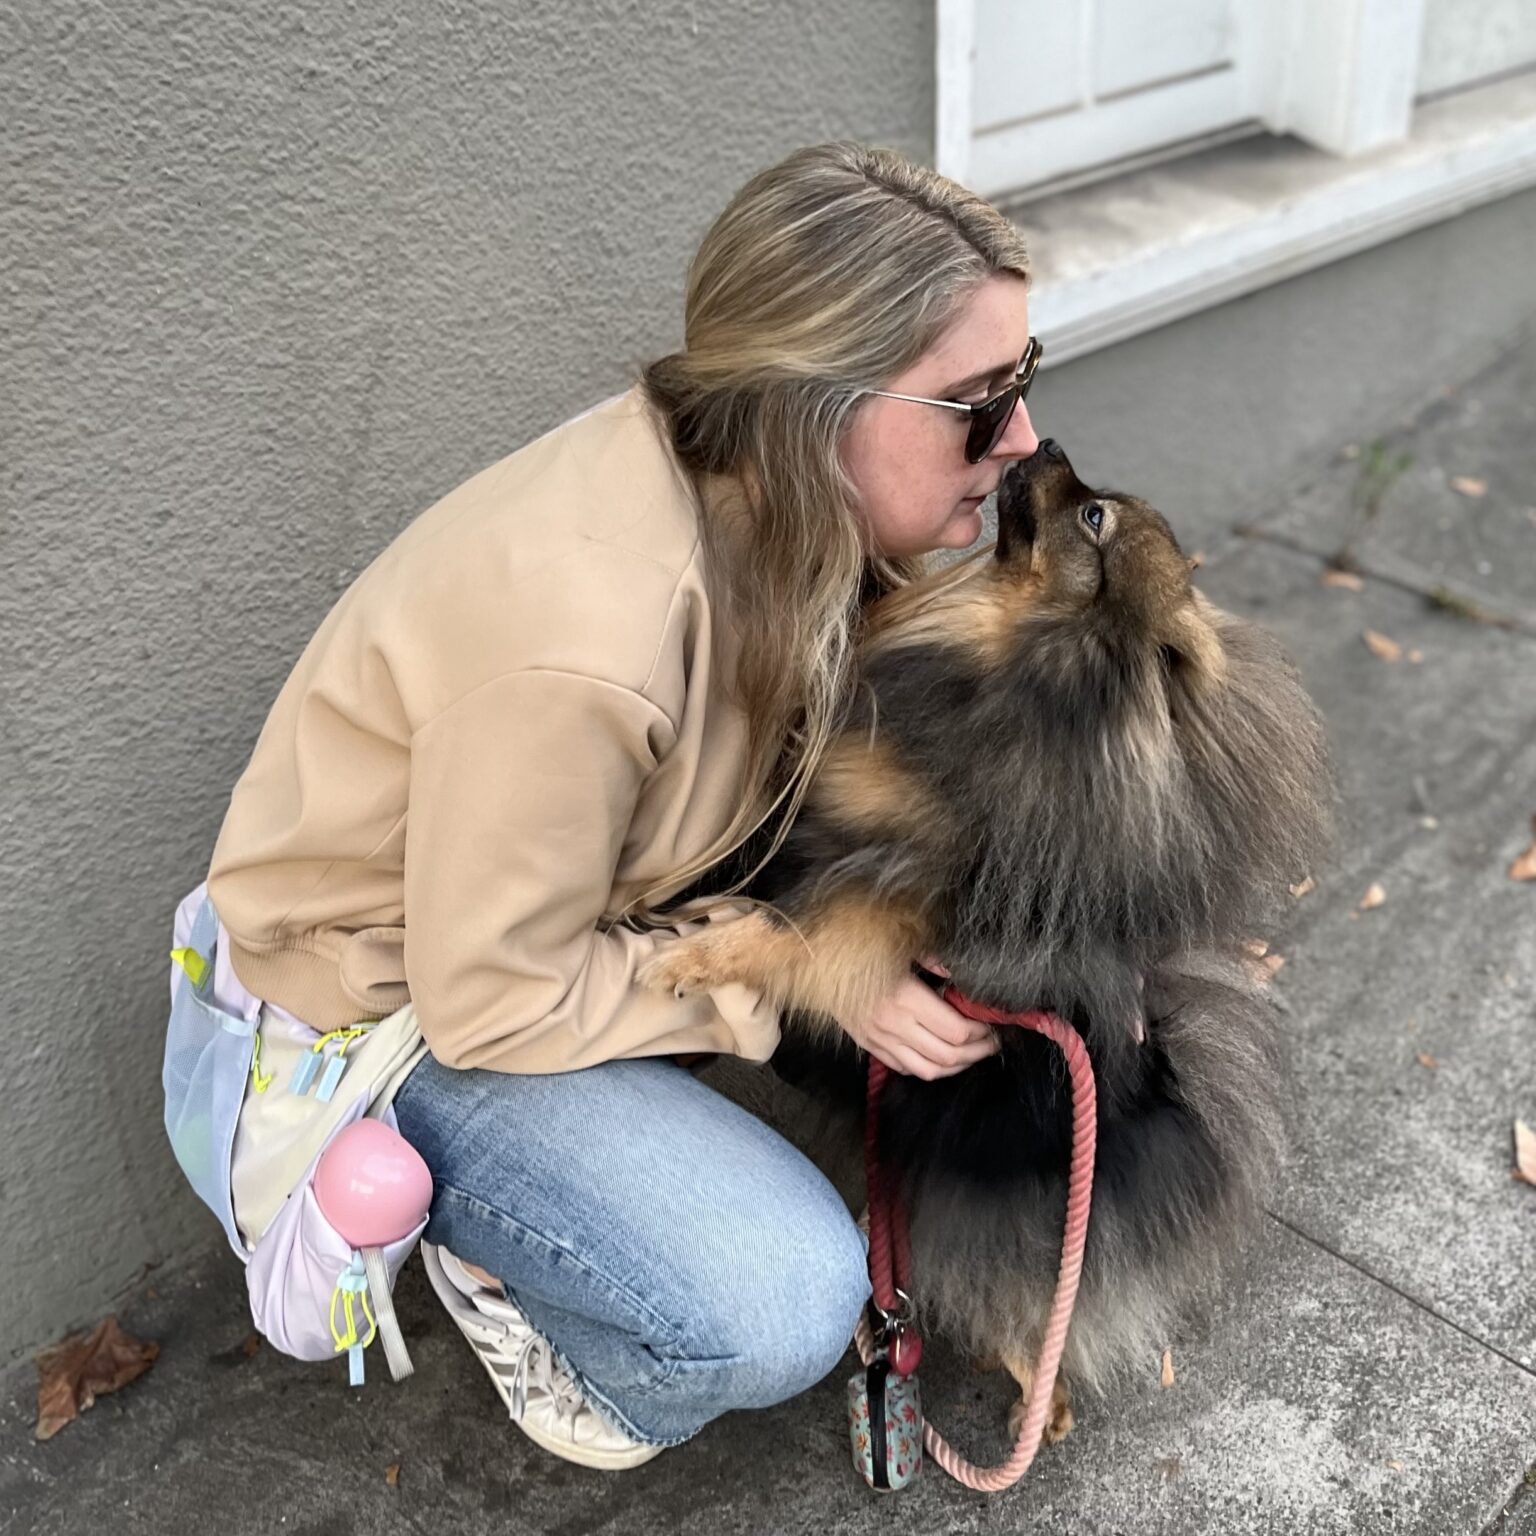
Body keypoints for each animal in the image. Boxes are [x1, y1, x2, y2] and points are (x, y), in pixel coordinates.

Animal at [635, 442, 1333, 1437]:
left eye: (1094, 518)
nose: (1043, 447)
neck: (1003, 659)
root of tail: (1160, 1101)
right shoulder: (828, 808)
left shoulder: (894, 900)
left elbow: (791, 932)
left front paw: (690, 959)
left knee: (1033, 1310)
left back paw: (1038, 1400)